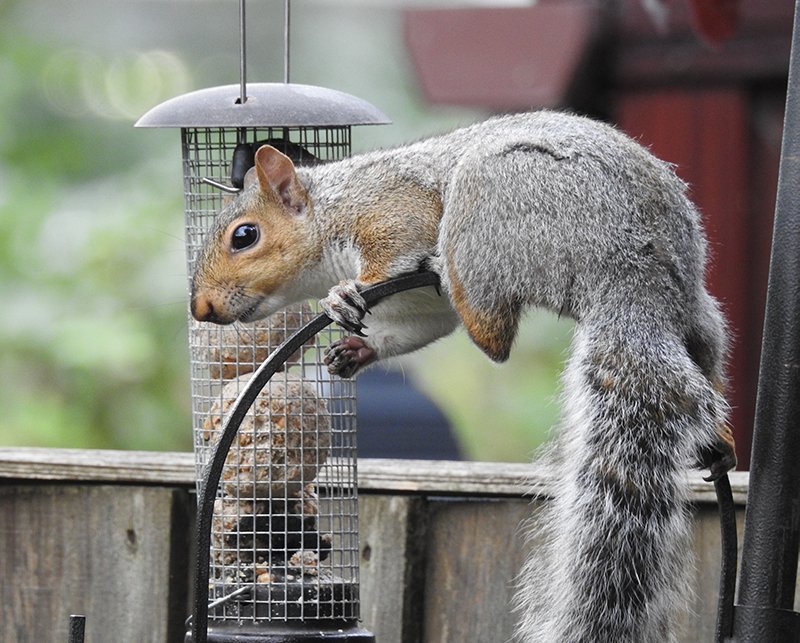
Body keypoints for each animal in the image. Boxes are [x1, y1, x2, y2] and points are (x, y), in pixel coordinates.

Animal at [190, 111, 737, 642]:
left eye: (245, 235)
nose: (201, 308)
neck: (330, 207)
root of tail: (634, 278)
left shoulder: (389, 208)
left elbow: (395, 246)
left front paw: (346, 294)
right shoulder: (421, 306)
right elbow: (421, 326)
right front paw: (358, 349)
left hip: (493, 200)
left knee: (493, 335)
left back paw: (450, 279)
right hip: (691, 308)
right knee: (703, 344)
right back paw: (721, 442)